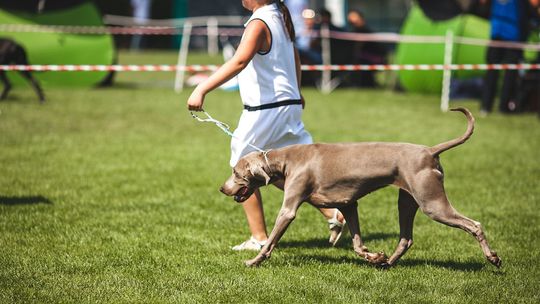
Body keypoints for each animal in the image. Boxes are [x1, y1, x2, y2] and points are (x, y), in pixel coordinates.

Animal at [220, 107, 502, 268]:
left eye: (235, 173)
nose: (222, 189)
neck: (285, 160)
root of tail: (430, 151)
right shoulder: (349, 205)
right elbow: (356, 243)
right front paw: (374, 256)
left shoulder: (289, 209)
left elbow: (271, 242)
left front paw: (253, 261)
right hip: (407, 199)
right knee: (406, 238)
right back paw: (387, 263)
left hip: (431, 202)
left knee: (474, 225)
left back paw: (493, 258)